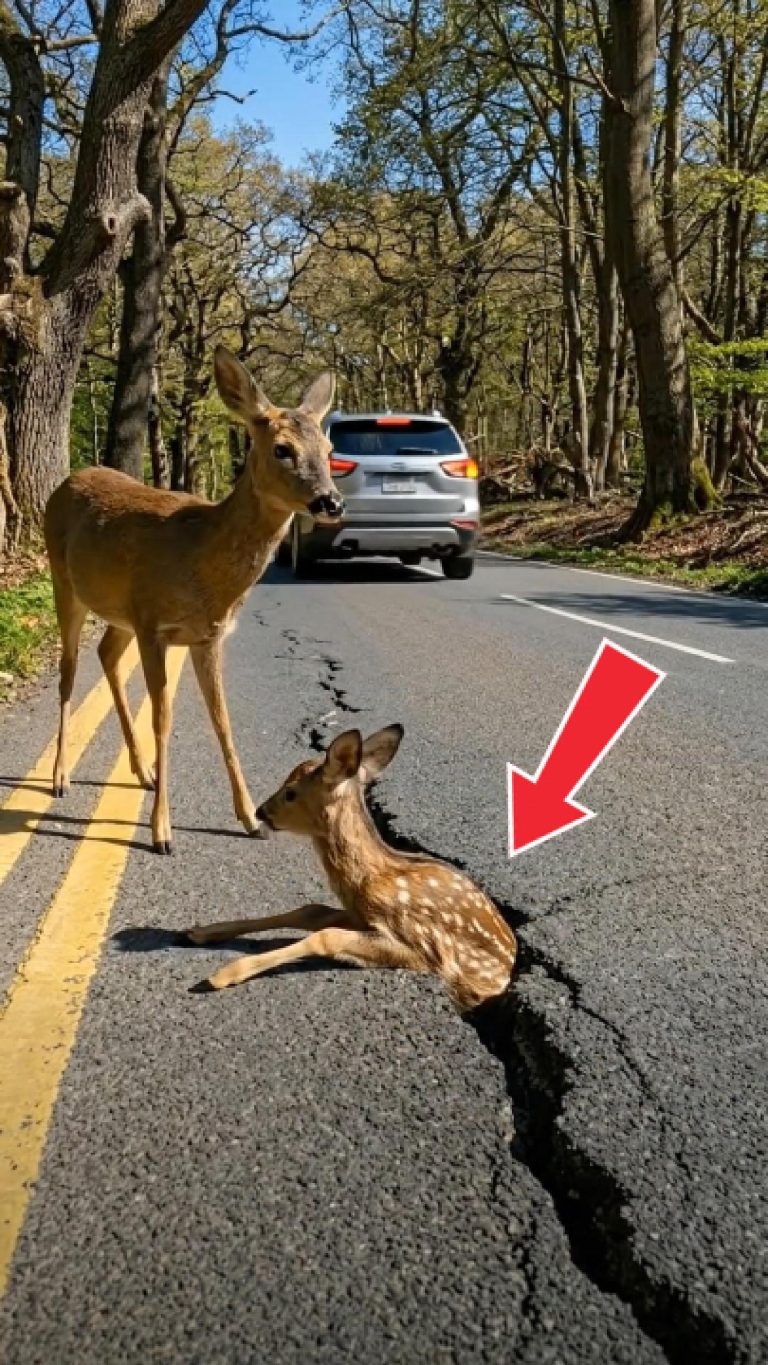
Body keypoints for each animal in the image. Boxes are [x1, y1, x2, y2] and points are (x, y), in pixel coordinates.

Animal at [43, 346, 344, 854]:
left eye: (328, 450)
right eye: (282, 449)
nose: (331, 502)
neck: (202, 559)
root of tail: (65, 482)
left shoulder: (206, 637)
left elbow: (222, 722)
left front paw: (250, 818)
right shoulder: (154, 626)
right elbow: (162, 718)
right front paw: (161, 831)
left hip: (119, 614)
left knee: (106, 654)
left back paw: (142, 772)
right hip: (64, 583)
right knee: (68, 673)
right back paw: (61, 776)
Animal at [185, 725, 517, 1012]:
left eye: (291, 793)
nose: (260, 811)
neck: (369, 878)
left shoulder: (423, 947)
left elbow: (327, 936)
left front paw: (223, 974)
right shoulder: (360, 914)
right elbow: (311, 911)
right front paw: (203, 931)